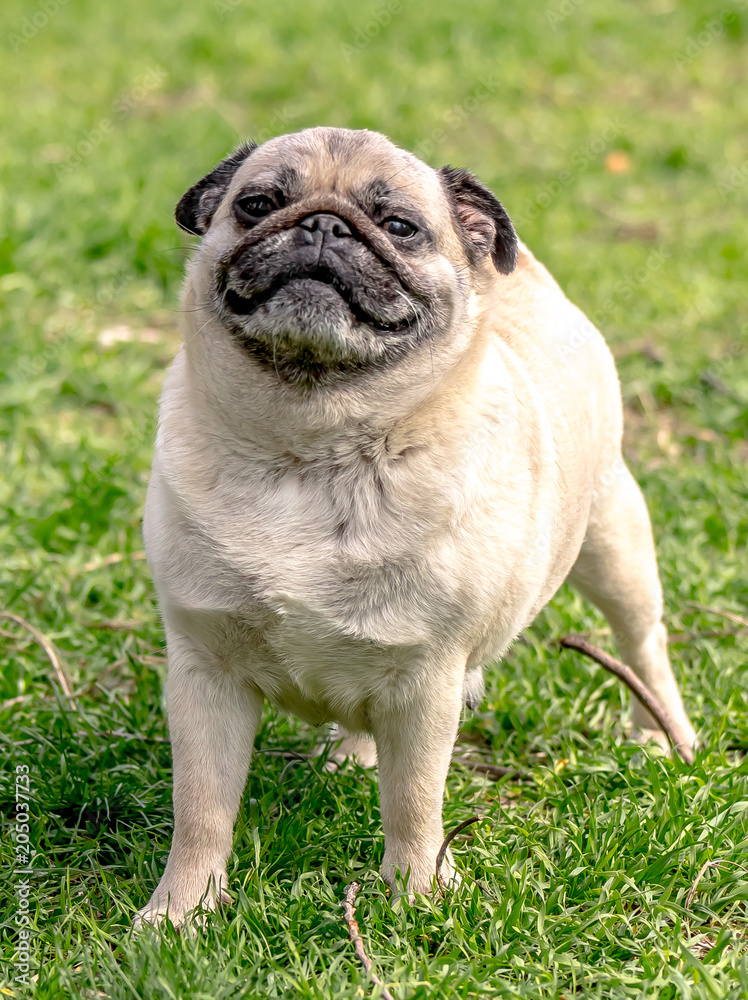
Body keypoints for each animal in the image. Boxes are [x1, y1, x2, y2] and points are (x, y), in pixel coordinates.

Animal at [133, 129, 696, 924]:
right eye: (257, 205)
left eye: (399, 227)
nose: (323, 224)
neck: (312, 446)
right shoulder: (205, 673)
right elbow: (203, 810)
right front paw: (182, 914)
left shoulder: (426, 681)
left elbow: (413, 802)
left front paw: (416, 898)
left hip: (614, 541)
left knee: (643, 643)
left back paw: (665, 735)